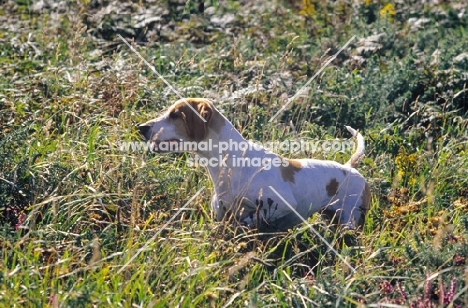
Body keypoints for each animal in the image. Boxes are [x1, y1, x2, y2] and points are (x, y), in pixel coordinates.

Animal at [138, 97, 370, 230]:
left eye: (175, 115)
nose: (141, 127)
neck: (230, 162)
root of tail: (349, 168)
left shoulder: (282, 204)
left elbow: (251, 219)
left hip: (350, 222)